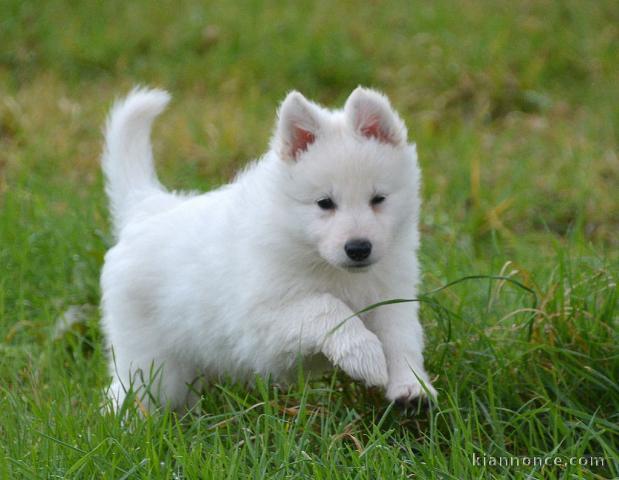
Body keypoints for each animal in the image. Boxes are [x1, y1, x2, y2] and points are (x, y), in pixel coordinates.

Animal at [100, 85, 436, 408]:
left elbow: (401, 339)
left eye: (378, 199)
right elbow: (328, 309)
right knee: (125, 394)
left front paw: (411, 386)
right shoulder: (264, 319)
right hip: (148, 362)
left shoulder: (391, 295)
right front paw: (365, 356)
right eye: (324, 203)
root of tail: (146, 206)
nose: (358, 248)